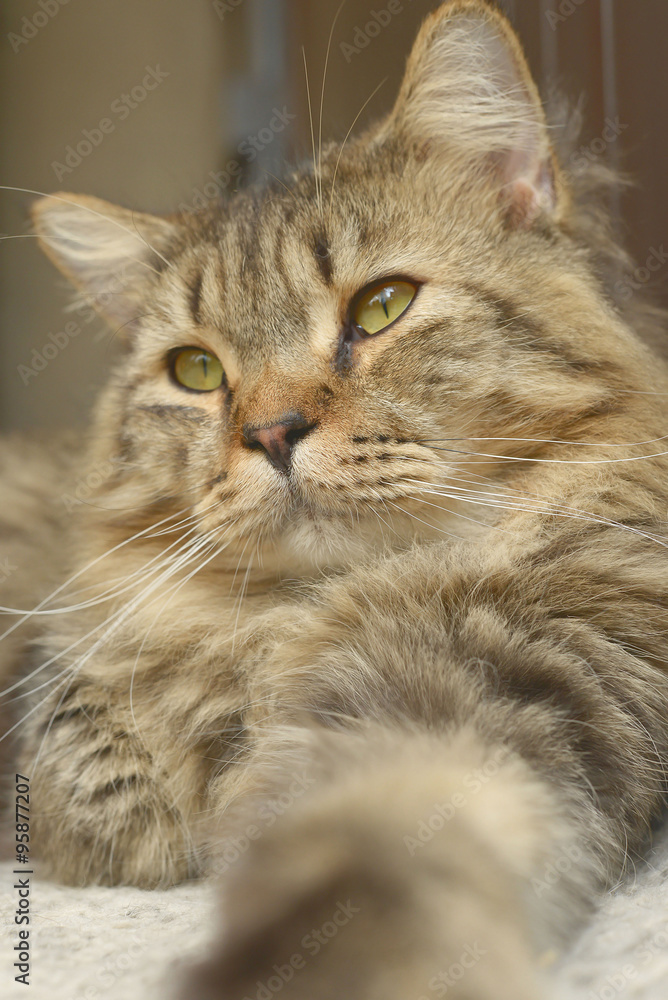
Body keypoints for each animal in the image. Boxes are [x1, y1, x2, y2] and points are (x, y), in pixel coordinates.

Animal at [1, 1, 668, 1000]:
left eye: (383, 306)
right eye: (196, 371)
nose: (272, 432)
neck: (290, 620)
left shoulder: (496, 684)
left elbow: (365, 862)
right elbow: (87, 767)